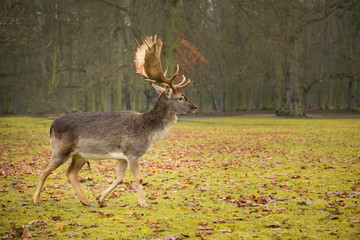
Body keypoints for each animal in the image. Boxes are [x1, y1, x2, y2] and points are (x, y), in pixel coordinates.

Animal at [33, 35, 197, 208]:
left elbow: (119, 179)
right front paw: (143, 203)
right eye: (180, 97)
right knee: (45, 169)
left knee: (70, 172)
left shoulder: (121, 157)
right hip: (60, 149)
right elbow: (139, 178)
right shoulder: (132, 152)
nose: (194, 106)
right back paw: (36, 200)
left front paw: (101, 198)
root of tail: (51, 126)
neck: (148, 131)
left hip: (80, 155)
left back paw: (86, 201)